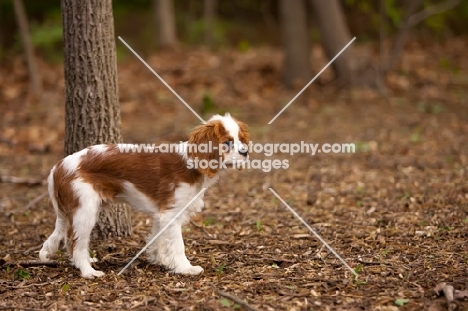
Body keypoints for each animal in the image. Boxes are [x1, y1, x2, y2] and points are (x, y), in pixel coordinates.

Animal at [38, 113, 250, 280]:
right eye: (227, 143)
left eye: (241, 139)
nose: (246, 152)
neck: (192, 164)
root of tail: (58, 167)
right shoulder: (170, 213)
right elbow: (177, 245)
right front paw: (185, 268)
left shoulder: (161, 214)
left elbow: (158, 239)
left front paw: (161, 260)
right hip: (85, 211)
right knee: (75, 243)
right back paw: (88, 271)